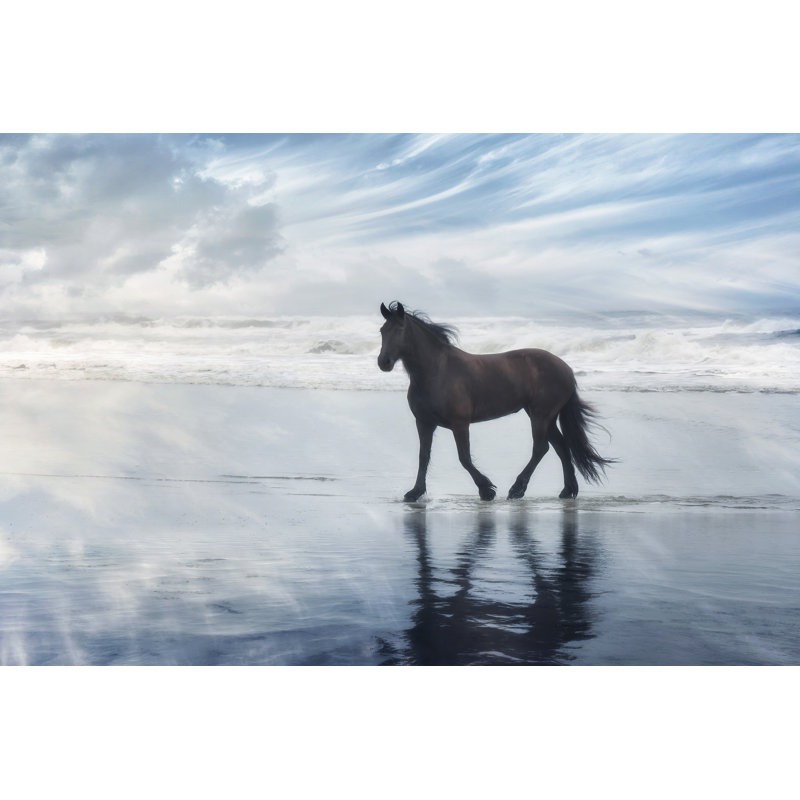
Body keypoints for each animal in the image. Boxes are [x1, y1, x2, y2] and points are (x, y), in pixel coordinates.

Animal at [378, 301, 615, 502]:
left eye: (400, 329)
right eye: (382, 331)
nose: (383, 362)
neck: (436, 372)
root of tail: (566, 369)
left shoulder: (459, 424)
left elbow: (464, 458)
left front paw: (486, 490)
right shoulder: (424, 423)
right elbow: (423, 457)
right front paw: (415, 492)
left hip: (541, 416)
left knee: (541, 448)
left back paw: (517, 489)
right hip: (545, 416)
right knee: (561, 447)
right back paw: (567, 490)